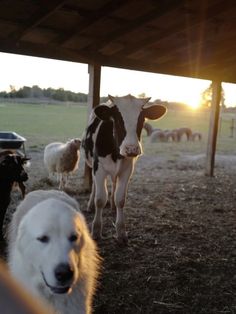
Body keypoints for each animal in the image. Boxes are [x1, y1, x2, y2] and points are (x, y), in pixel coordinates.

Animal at [82, 94, 167, 244]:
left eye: (142, 119)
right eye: (117, 119)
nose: (131, 149)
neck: (116, 153)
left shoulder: (127, 169)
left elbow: (120, 199)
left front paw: (121, 232)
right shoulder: (99, 168)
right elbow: (100, 199)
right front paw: (96, 230)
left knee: (114, 183)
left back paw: (112, 206)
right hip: (92, 164)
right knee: (94, 188)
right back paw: (90, 204)